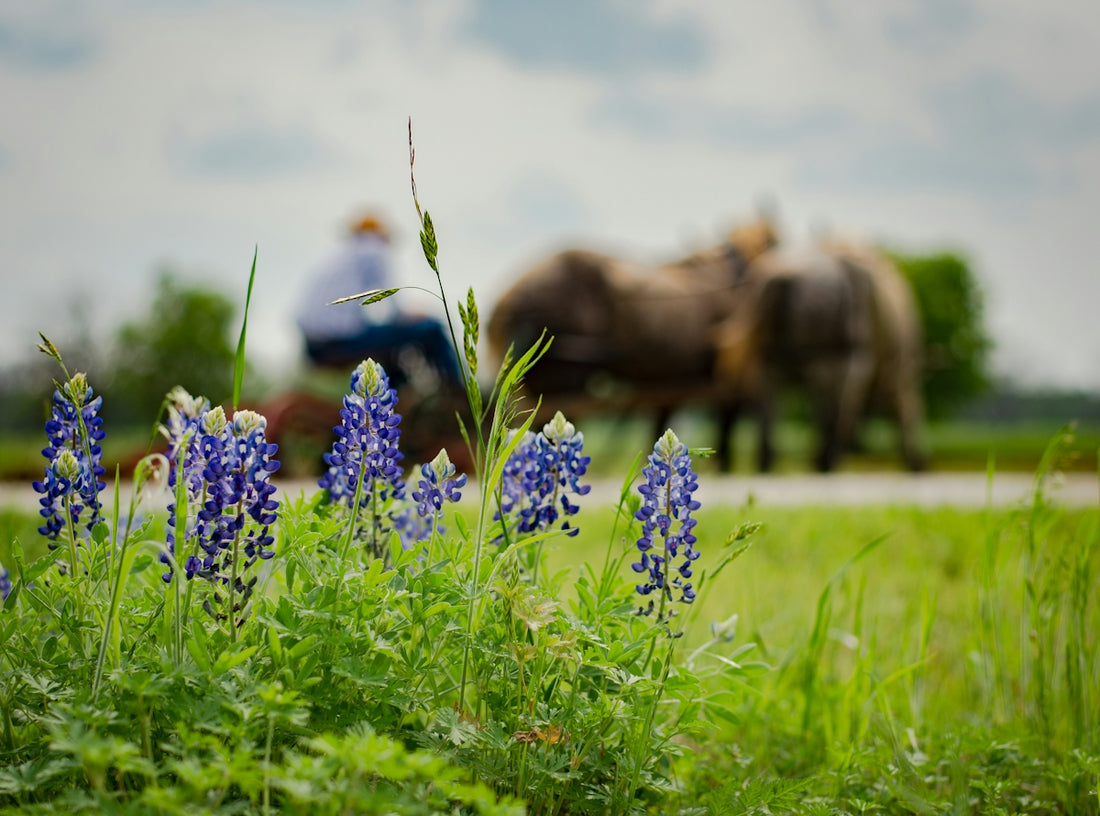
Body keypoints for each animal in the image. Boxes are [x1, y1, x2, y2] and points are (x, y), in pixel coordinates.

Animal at [486, 219, 778, 470]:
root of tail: (508, 299)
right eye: (775, 241)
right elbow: (735, 413)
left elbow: (663, 424)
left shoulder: (668, 380)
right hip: (564, 377)